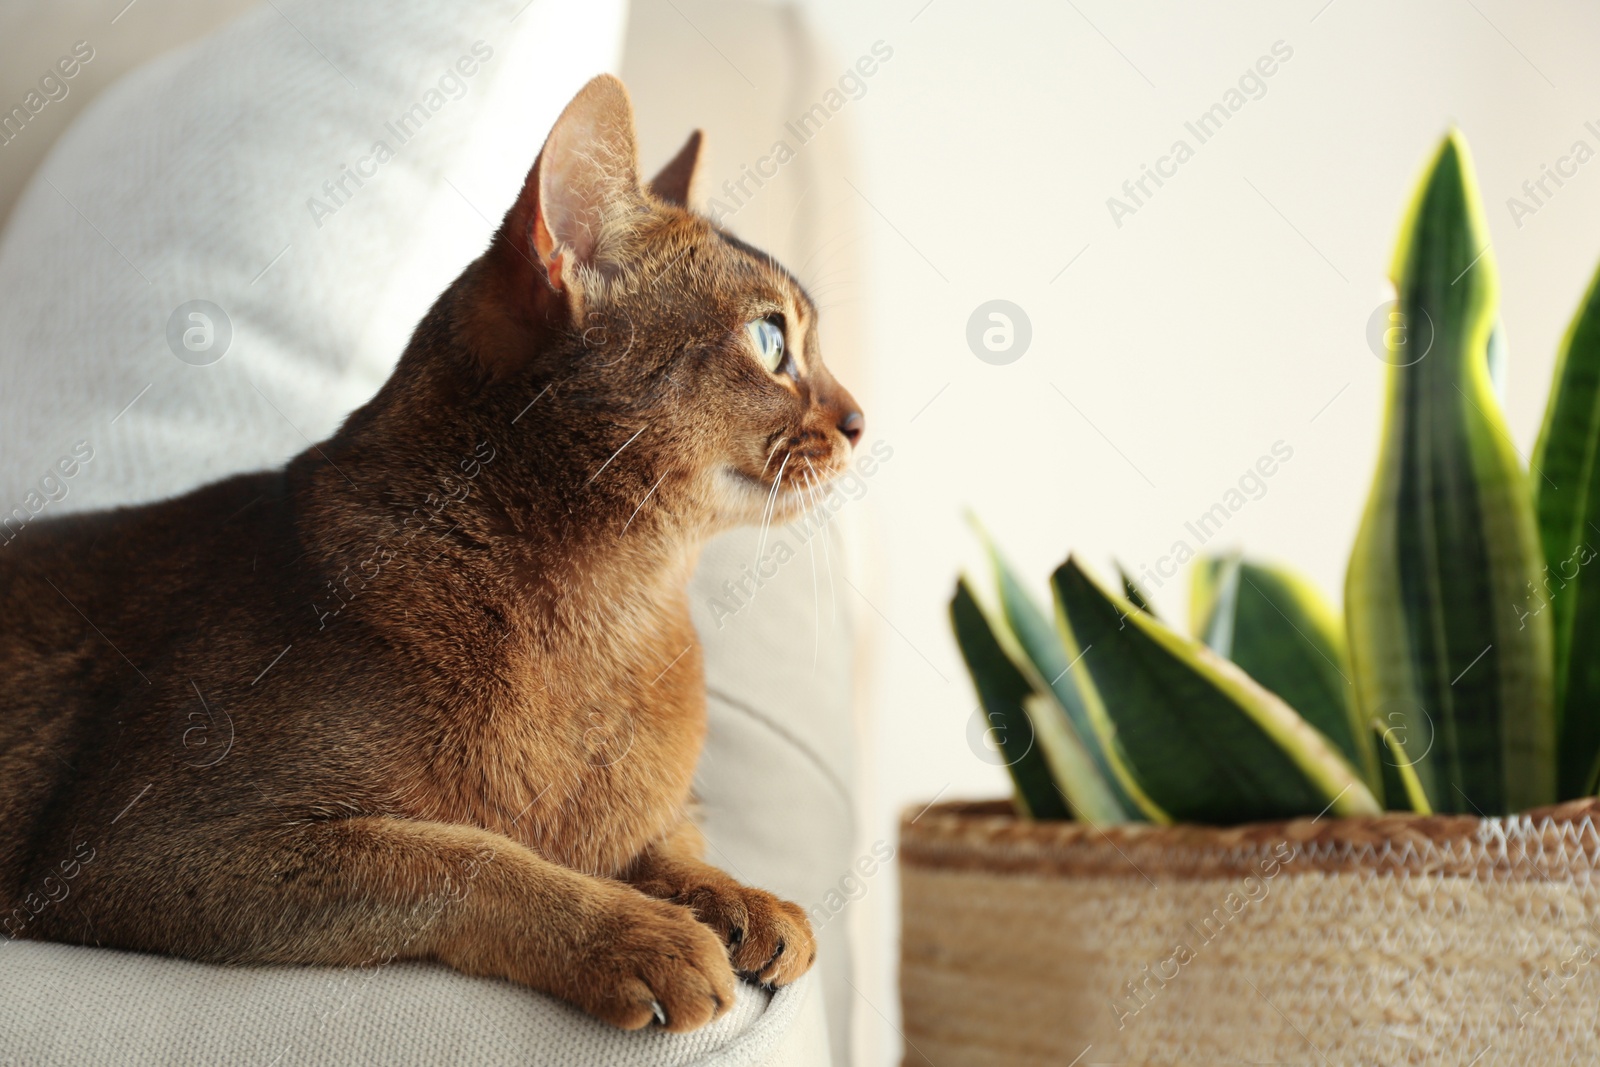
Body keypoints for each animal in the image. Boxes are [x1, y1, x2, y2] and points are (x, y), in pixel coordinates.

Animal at [0, 77, 864, 1036]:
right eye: (771, 341)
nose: (860, 420)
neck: (616, 607)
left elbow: (663, 833)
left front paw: (736, 894)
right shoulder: (134, 848)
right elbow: (462, 854)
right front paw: (635, 932)